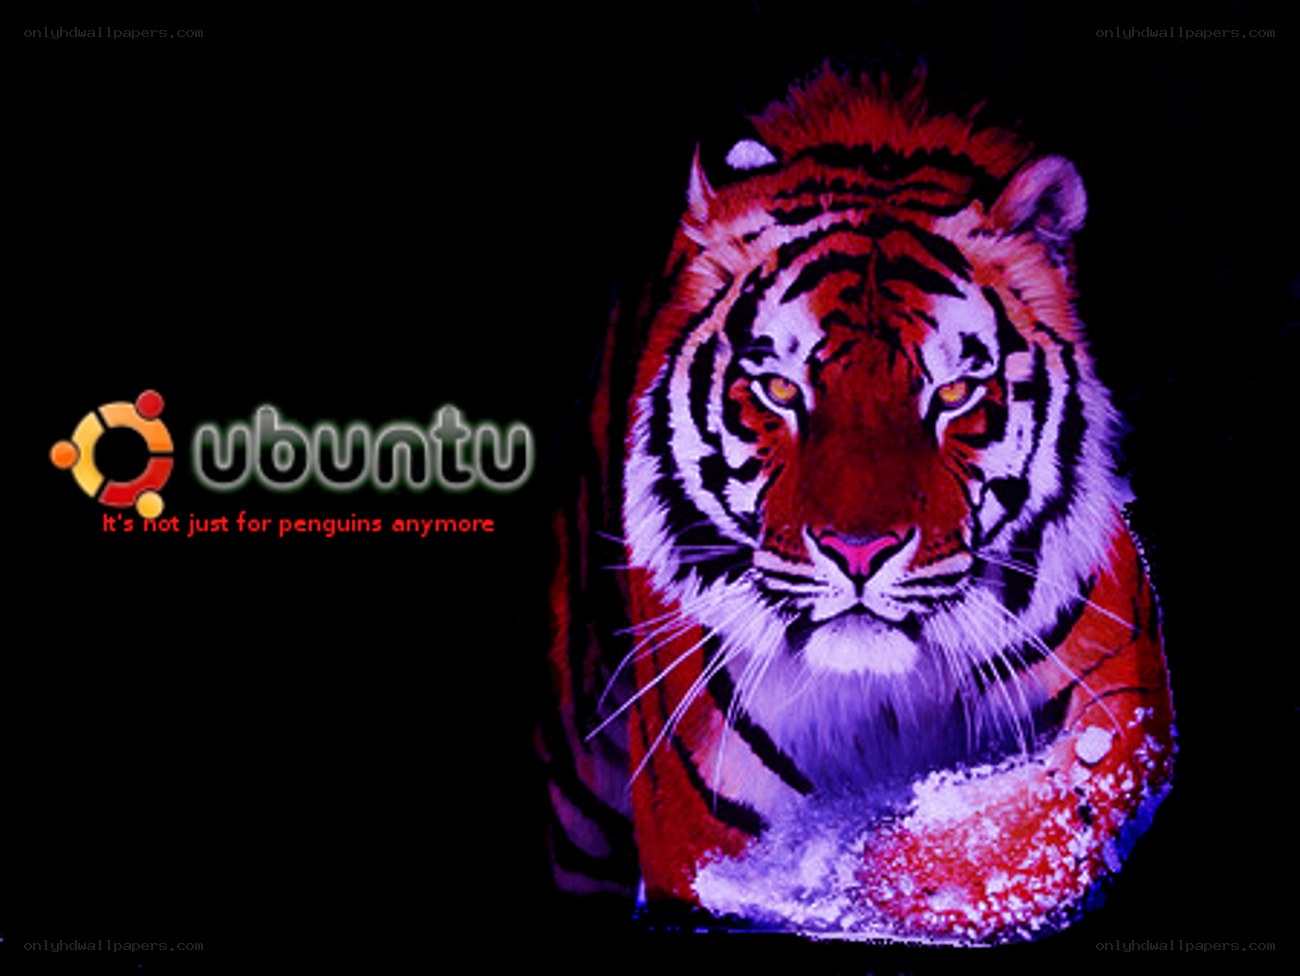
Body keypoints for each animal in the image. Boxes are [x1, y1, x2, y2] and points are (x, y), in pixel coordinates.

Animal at [537, 65, 1175, 943]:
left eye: (954, 393)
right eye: (779, 390)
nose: (859, 553)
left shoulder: (1121, 710)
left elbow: (1041, 825)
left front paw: (867, 865)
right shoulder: (697, 822)